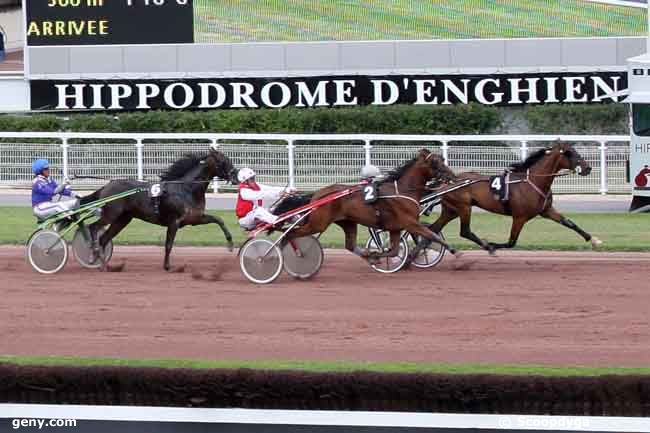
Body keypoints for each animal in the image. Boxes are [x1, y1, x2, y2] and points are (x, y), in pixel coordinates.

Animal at [81, 148, 237, 270]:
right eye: (223, 161)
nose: (235, 176)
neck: (186, 189)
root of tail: (107, 185)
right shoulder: (174, 222)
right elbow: (168, 244)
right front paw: (167, 266)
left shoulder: (195, 219)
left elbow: (218, 219)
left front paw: (230, 244)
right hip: (111, 214)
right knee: (93, 227)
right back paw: (94, 253)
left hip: (123, 219)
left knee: (104, 238)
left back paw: (102, 263)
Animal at [276, 148, 458, 264]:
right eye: (436, 162)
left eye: (442, 160)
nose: (452, 175)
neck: (402, 189)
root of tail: (318, 195)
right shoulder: (410, 222)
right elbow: (432, 235)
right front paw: (455, 251)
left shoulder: (396, 227)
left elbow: (394, 250)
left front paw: (376, 255)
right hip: (318, 223)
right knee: (289, 234)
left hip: (347, 222)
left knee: (349, 245)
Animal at [428, 141, 600, 253]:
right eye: (570, 153)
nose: (588, 168)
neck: (532, 181)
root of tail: (448, 181)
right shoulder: (519, 217)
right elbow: (512, 241)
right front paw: (492, 244)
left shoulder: (546, 210)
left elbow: (569, 223)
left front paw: (593, 240)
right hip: (464, 207)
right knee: (464, 231)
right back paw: (486, 245)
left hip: (451, 210)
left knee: (433, 229)